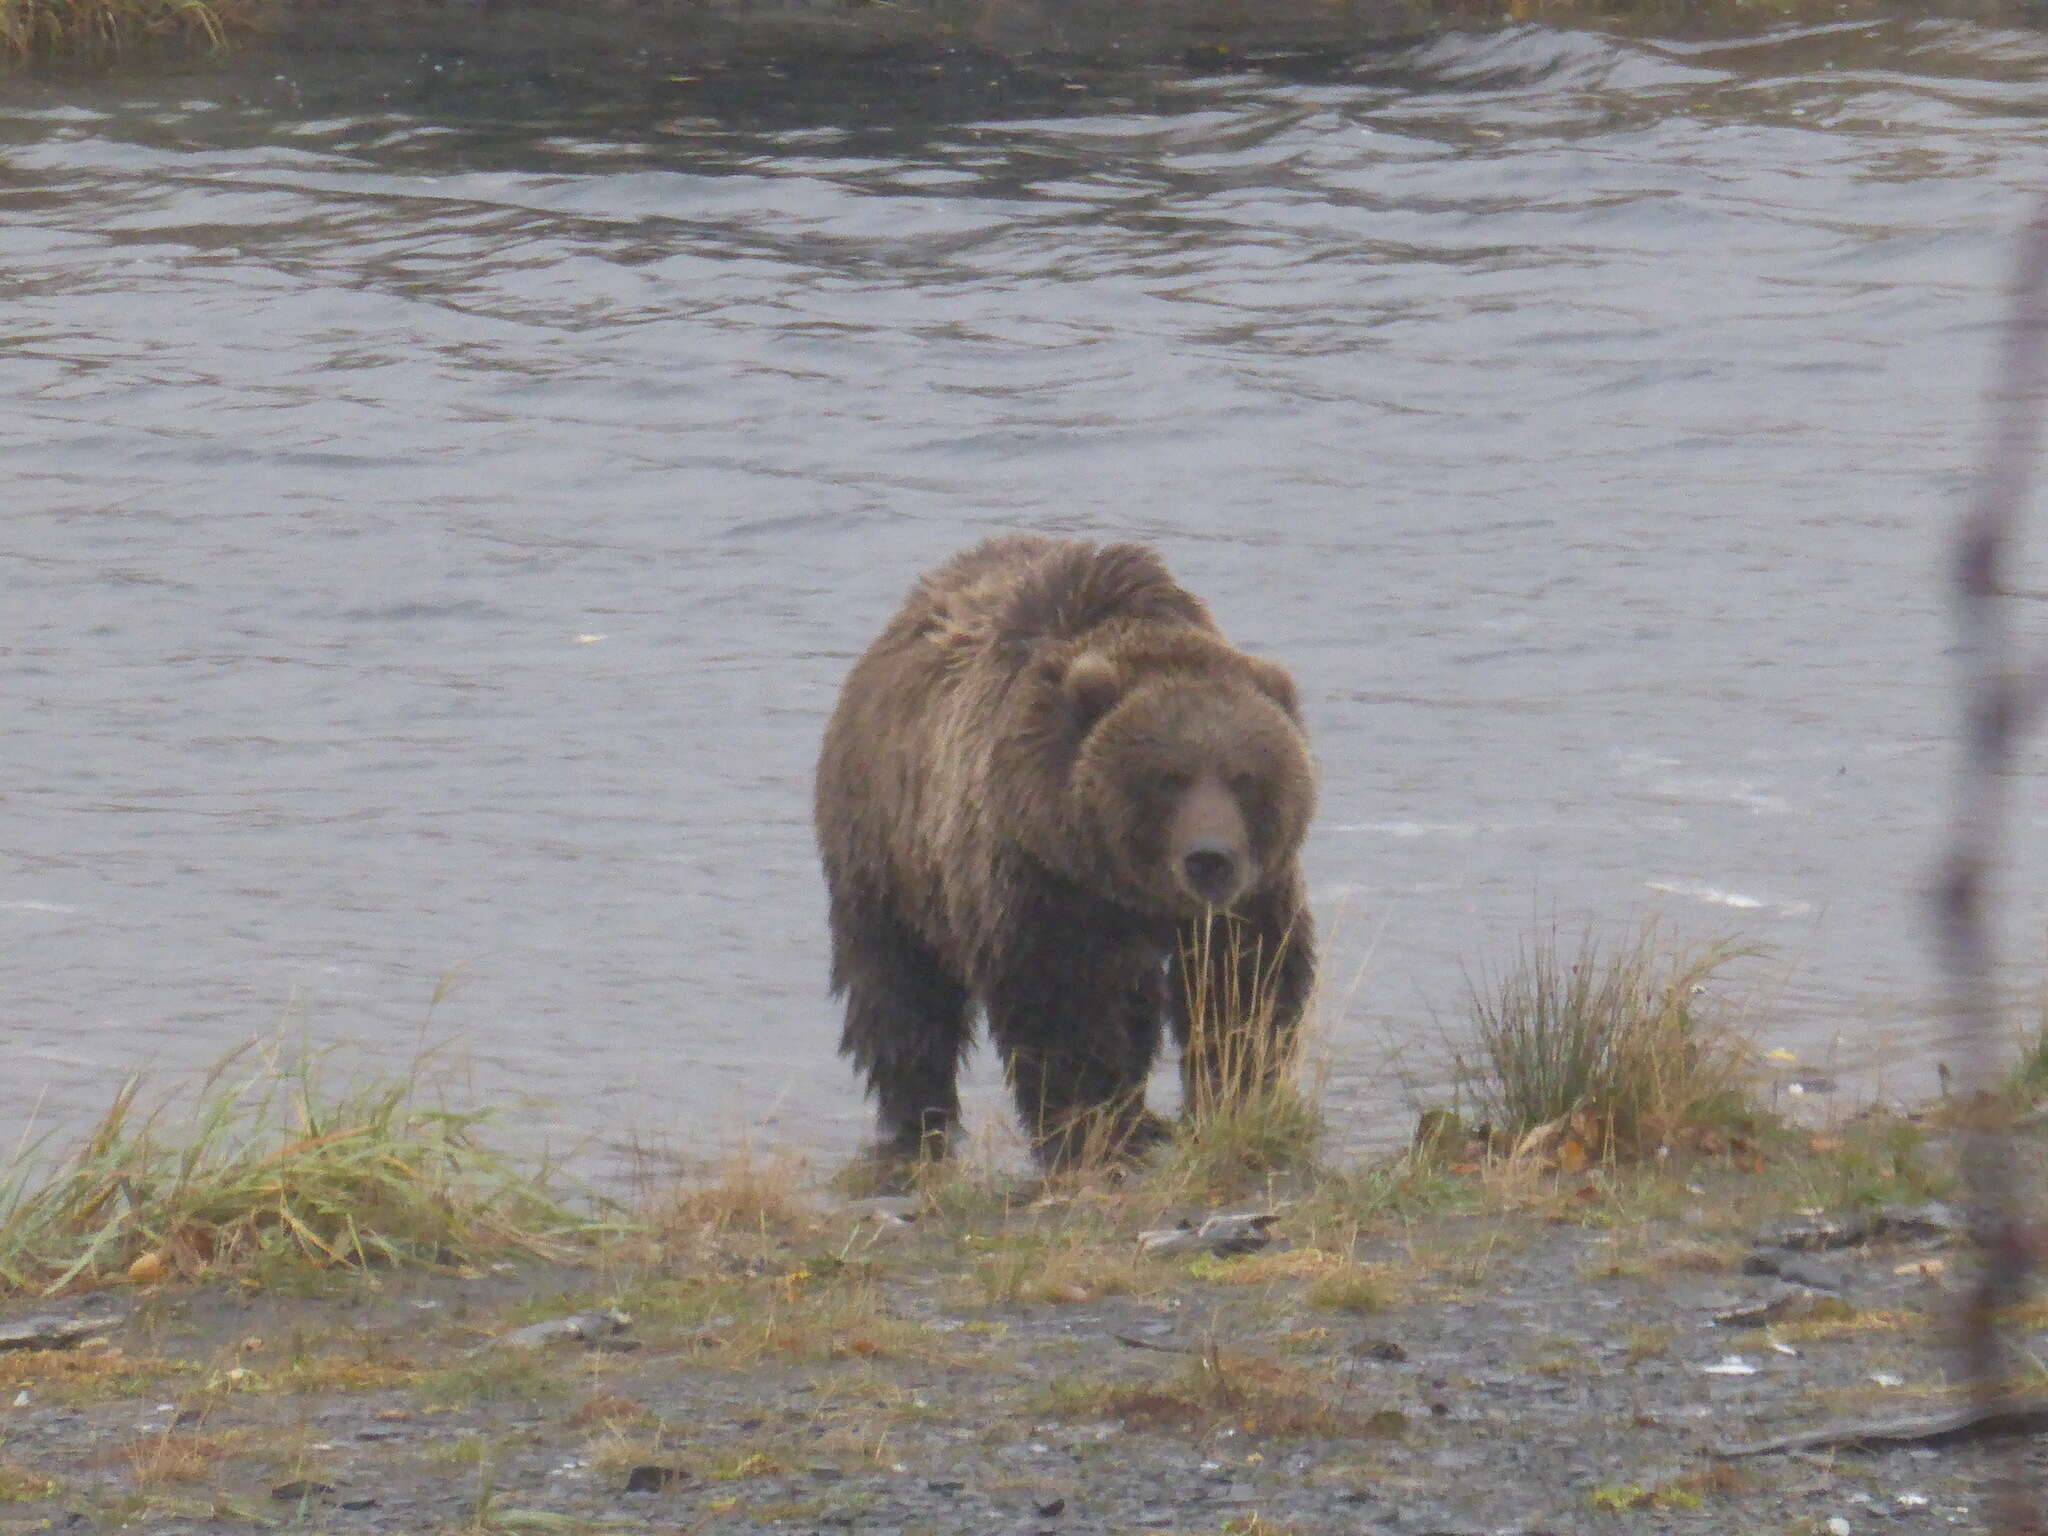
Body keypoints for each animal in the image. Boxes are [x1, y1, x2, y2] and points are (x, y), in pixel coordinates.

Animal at [819, 536, 1318, 1171]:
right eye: (1169, 777)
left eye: (1244, 776)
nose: (1209, 858)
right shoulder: (1039, 880)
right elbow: (1061, 1004)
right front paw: (1088, 1125)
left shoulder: (1251, 894)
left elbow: (1243, 985)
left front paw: (1232, 1094)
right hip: (885, 853)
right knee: (900, 990)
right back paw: (920, 1119)